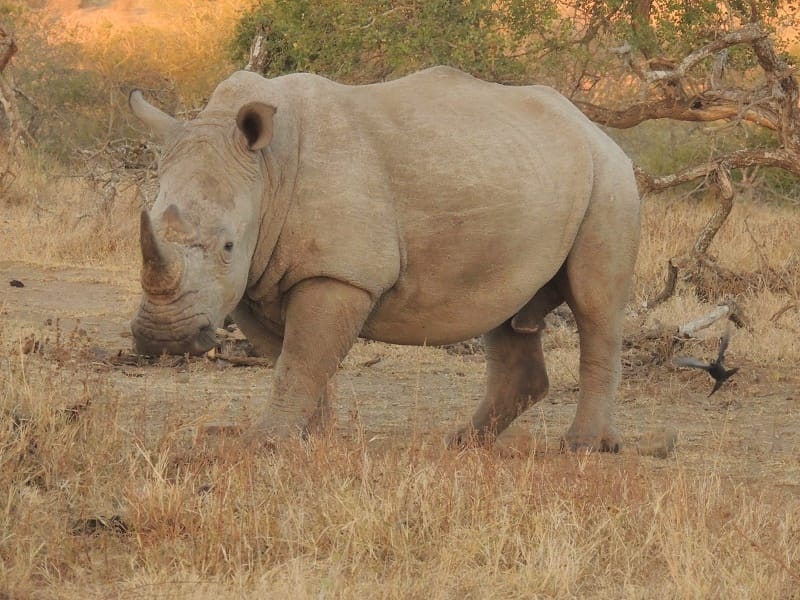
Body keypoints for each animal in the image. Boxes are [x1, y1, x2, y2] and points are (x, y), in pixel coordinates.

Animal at [133, 65, 644, 450]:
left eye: (227, 246)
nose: (164, 339)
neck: (267, 171)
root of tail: (594, 128)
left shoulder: (338, 273)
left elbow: (300, 360)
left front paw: (266, 443)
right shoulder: (254, 279)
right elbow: (291, 358)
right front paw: (311, 439)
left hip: (611, 178)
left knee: (595, 306)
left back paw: (584, 447)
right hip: (525, 176)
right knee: (507, 309)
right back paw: (461, 443)